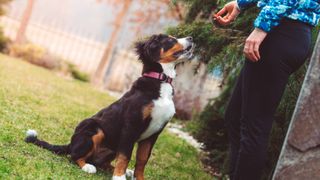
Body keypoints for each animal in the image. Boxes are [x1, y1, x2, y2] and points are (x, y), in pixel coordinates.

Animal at [25, 34, 194, 180]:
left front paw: (137, 177)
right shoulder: (131, 126)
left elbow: (142, 160)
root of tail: (71, 143)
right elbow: (125, 156)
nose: (191, 38)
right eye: (170, 40)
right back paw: (88, 167)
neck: (160, 81)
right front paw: (119, 177)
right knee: (74, 155)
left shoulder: (154, 133)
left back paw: (124, 171)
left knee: (101, 162)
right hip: (94, 129)